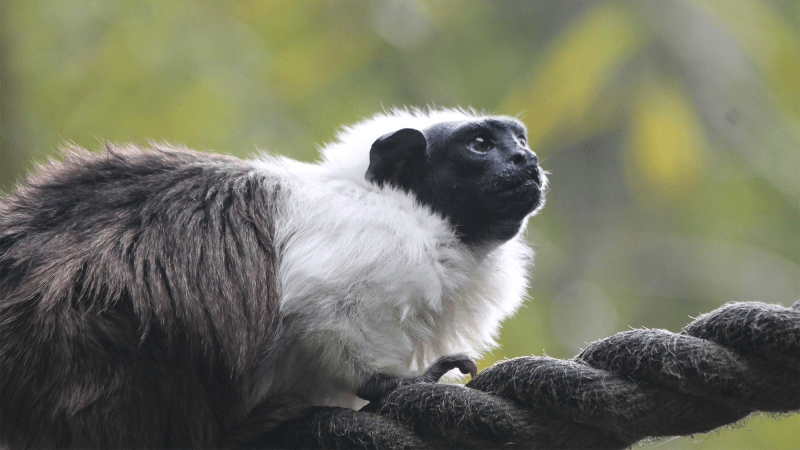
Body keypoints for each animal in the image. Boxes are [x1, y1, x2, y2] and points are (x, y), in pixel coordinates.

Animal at [0, 107, 548, 448]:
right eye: (481, 145)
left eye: (518, 140)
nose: (528, 159)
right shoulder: (375, 244)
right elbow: (322, 314)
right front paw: (395, 382)